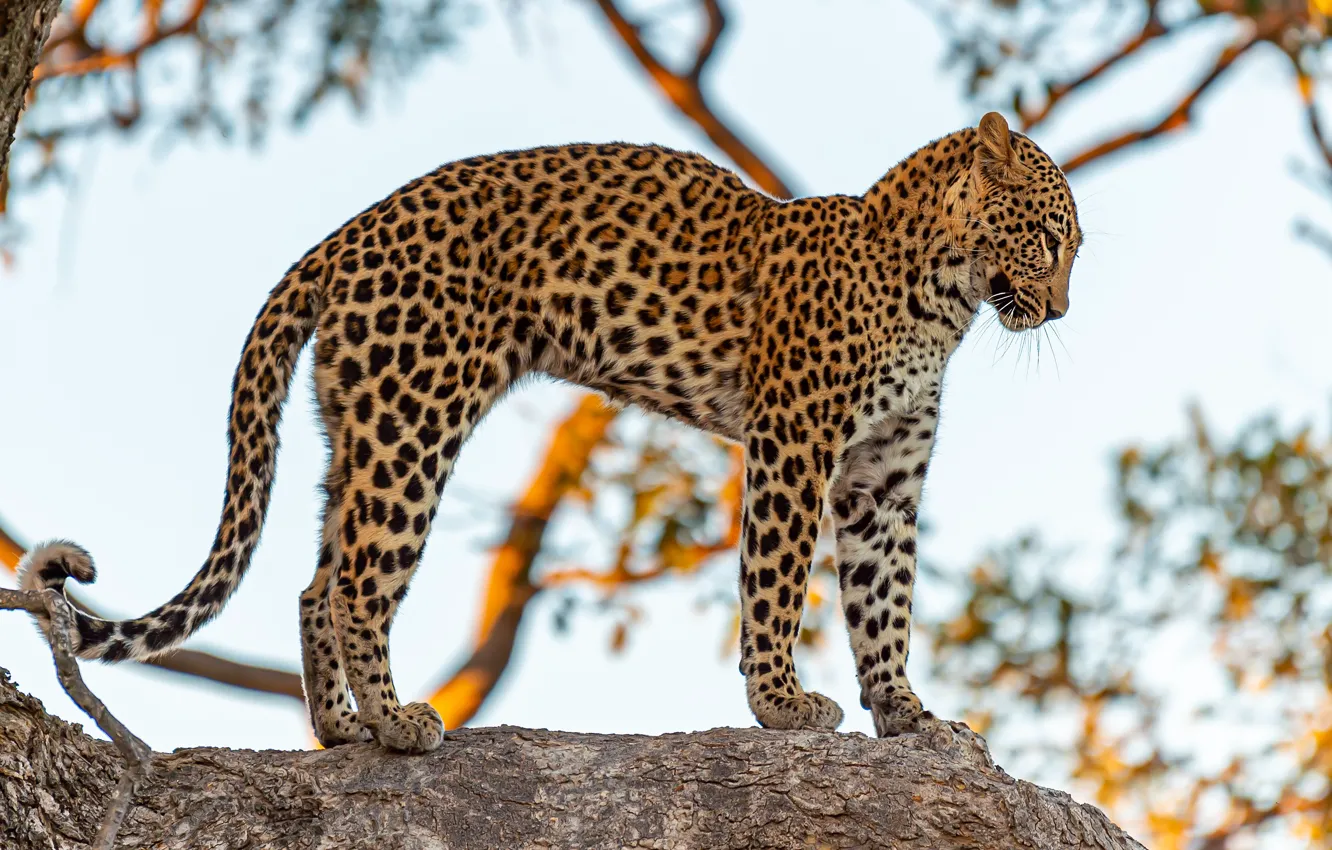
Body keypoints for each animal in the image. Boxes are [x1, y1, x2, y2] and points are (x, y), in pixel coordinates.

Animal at [20, 111, 1081, 753]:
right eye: (1051, 238)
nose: (1064, 309)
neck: (941, 298)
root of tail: (341, 238)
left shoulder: (881, 477)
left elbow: (884, 598)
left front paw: (911, 715)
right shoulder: (795, 445)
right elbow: (778, 582)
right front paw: (782, 704)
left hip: (360, 426)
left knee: (319, 579)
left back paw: (342, 730)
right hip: (416, 420)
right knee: (361, 582)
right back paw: (399, 723)